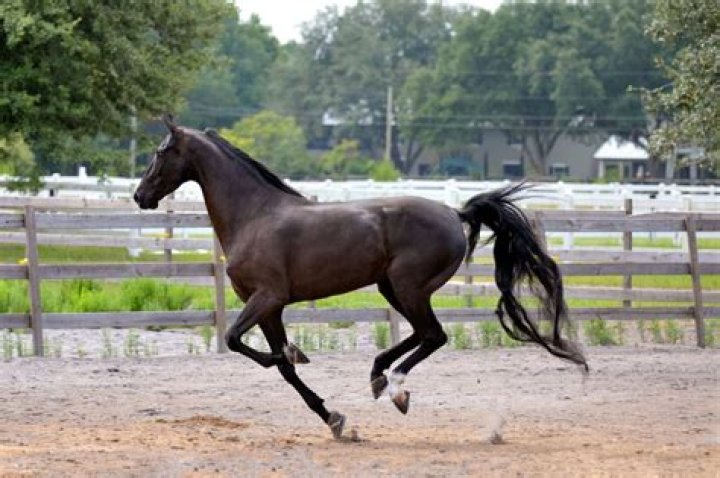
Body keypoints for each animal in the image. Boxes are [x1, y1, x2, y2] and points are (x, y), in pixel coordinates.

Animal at [134, 115, 587, 439]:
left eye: (160, 151)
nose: (140, 196)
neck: (254, 216)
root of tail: (454, 213)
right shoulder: (269, 309)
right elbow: (281, 369)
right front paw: (334, 418)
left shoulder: (266, 298)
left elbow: (237, 342)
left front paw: (297, 356)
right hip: (392, 288)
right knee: (422, 334)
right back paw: (378, 376)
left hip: (408, 287)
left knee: (433, 335)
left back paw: (396, 388)